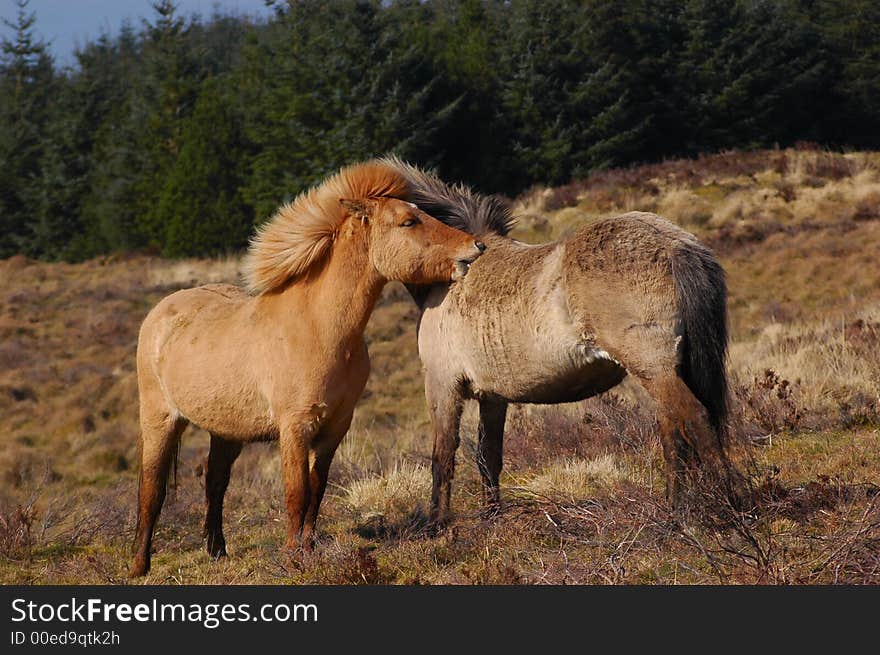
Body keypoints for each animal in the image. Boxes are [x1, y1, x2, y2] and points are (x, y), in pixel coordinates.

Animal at [131, 159, 488, 576]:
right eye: (408, 222)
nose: (475, 247)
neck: (320, 326)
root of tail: (160, 312)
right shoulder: (295, 428)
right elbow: (296, 491)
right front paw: (292, 557)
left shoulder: (335, 427)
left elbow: (317, 488)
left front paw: (309, 549)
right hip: (160, 419)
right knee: (151, 488)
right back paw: (139, 564)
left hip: (226, 430)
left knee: (215, 480)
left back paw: (217, 550)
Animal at [382, 158, 740, 528]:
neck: (455, 273)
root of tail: (678, 245)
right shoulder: (493, 396)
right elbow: (488, 456)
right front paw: (491, 517)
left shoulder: (443, 386)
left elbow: (442, 457)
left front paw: (437, 524)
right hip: (663, 372)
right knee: (675, 432)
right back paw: (675, 510)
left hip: (654, 368)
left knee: (696, 418)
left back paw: (728, 506)